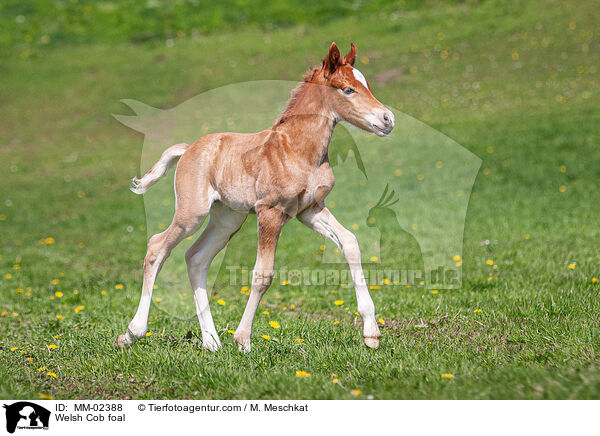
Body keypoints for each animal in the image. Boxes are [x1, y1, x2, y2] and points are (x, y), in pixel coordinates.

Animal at [115, 42, 396, 352]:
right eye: (347, 89)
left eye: (366, 84)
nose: (387, 119)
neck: (297, 148)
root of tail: (188, 149)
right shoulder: (270, 212)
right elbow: (263, 274)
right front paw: (243, 340)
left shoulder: (309, 209)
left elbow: (350, 242)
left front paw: (372, 333)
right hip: (191, 214)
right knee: (156, 247)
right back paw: (131, 333)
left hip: (227, 220)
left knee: (196, 258)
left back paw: (212, 341)